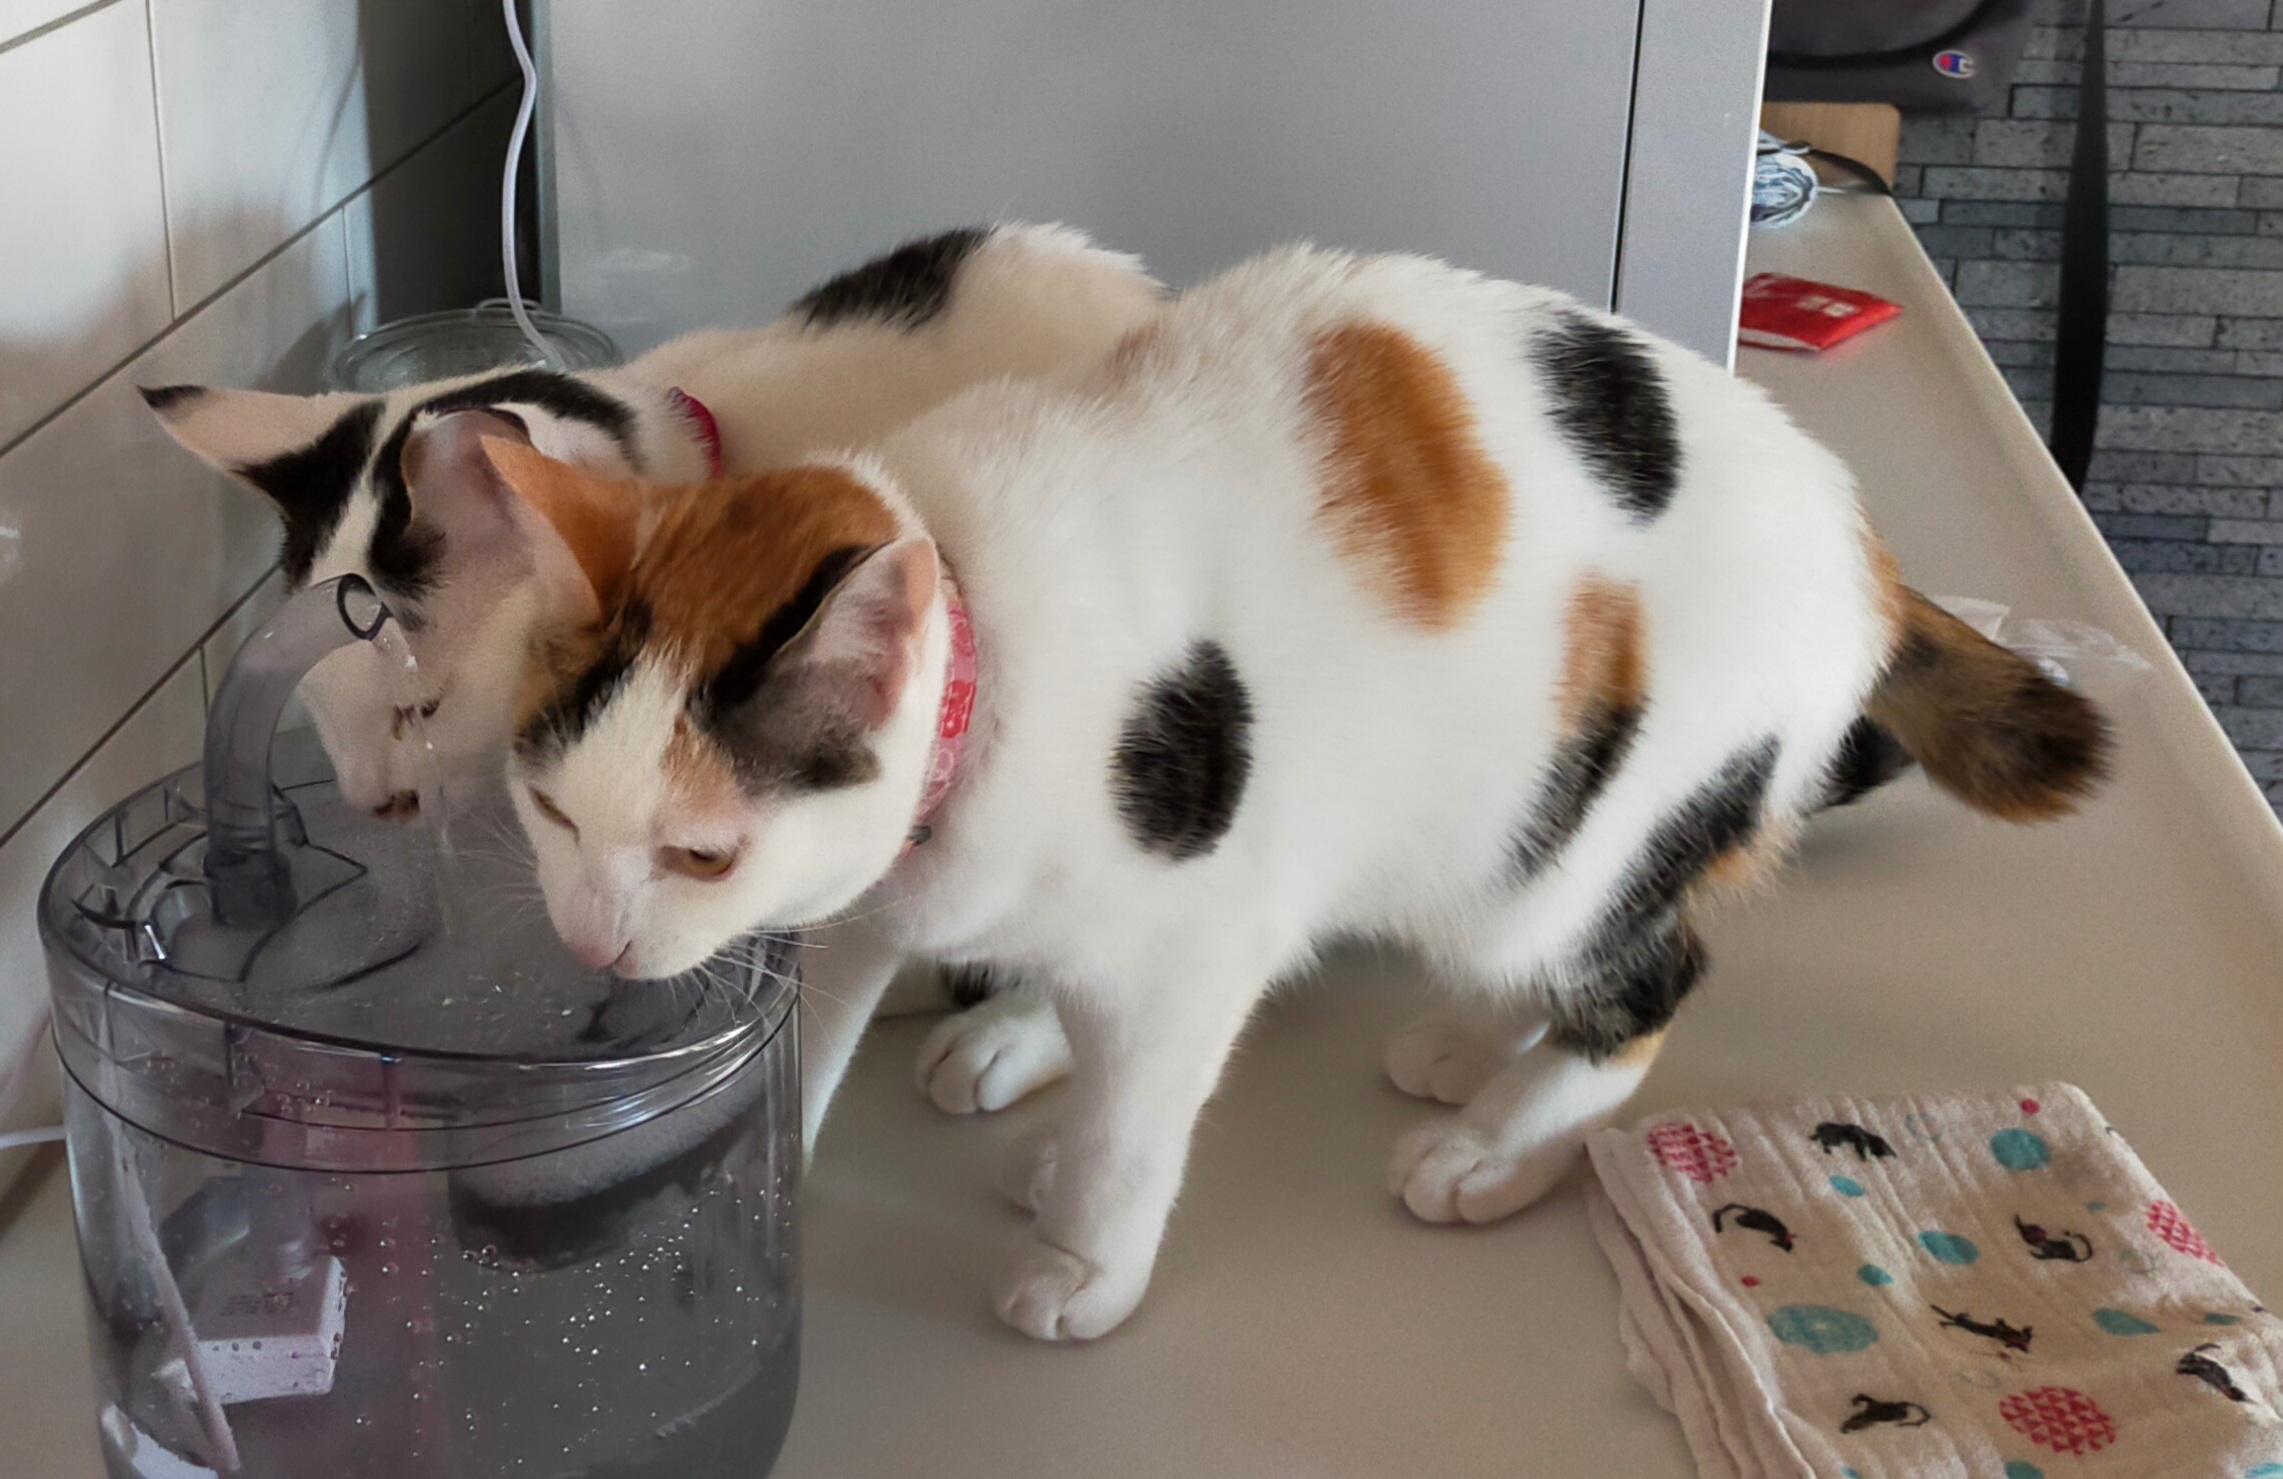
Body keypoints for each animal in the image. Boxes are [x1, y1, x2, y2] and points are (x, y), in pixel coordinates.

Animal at [479, 244, 2108, 1341]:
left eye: (699, 852)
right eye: (548, 815)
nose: (590, 942)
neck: (983, 634)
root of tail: (1865, 546)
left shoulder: (1206, 930)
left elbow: (1141, 1116)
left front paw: (1084, 1260)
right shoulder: (867, 906)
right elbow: (829, 1028)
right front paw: (731, 1211)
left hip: (1580, 830)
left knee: (1646, 974)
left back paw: (1493, 1139)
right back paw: (1442, 1044)